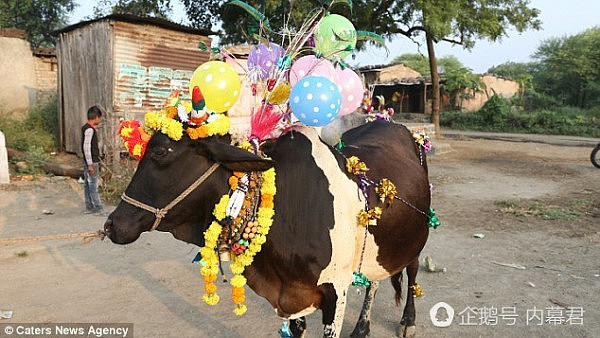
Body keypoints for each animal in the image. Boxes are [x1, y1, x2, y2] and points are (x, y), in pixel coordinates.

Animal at [104, 120, 432, 336]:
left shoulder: (335, 289)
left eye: (160, 152)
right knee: (375, 279)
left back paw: (408, 321)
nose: (111, 225)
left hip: (418, 235)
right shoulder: (295, 293)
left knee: (412, 272)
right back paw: (362, 327)